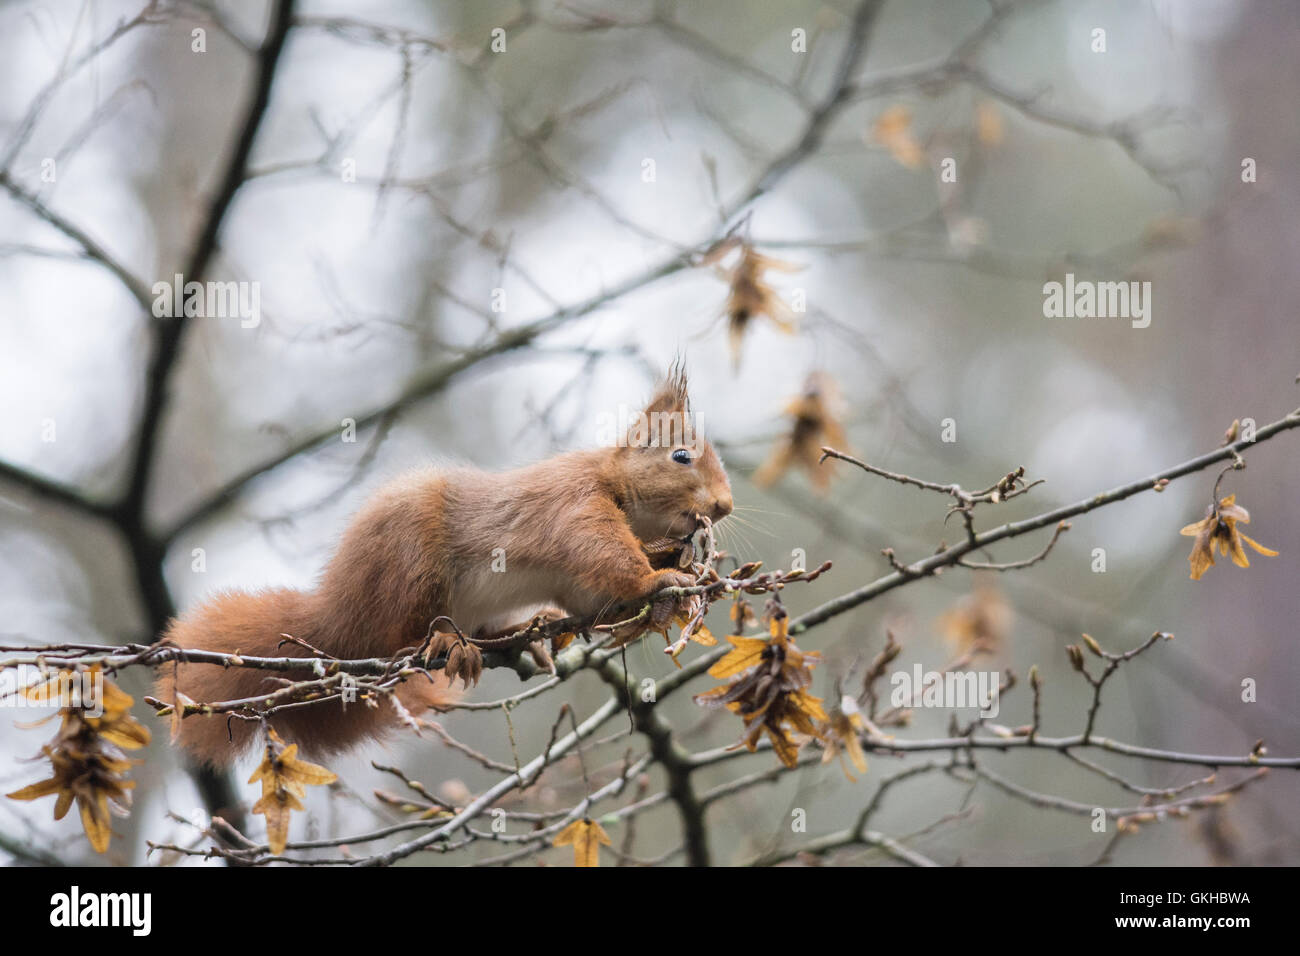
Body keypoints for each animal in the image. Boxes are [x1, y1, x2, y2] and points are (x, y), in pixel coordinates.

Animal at [154, 369, 733, 764]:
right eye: (681, 457)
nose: (725, 506)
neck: (615, 486)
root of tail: (336, 615)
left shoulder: (578, 585)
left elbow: (594, 601)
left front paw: (665, 581)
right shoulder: (573, 504)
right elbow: (605, 556)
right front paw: (659, 578)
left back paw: (525, 632)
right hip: (413, 564)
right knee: (402, 635)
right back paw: (444, 643)